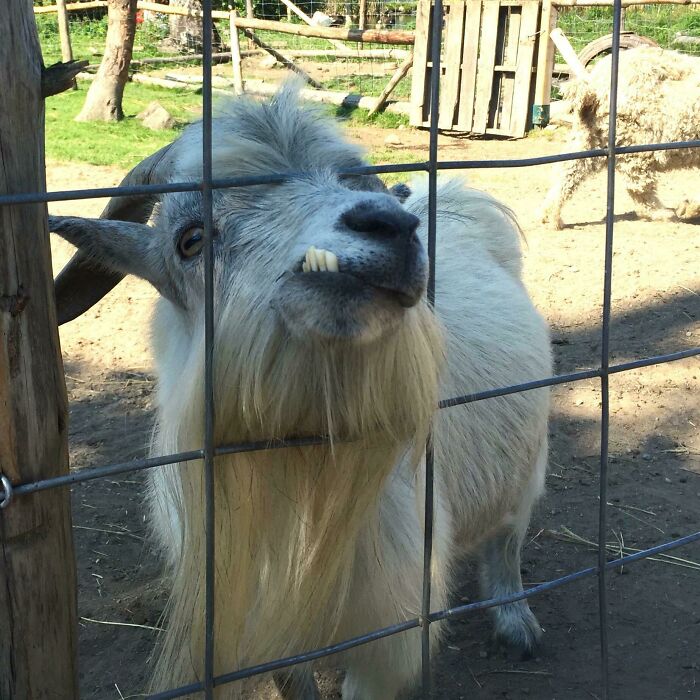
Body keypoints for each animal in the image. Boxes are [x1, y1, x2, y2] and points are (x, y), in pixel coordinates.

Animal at [50, 86, 551, 699]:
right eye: (190, 240)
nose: (390, 226)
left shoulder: (385, 635)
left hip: (531, 455)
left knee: (508, 536)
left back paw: (516, 622)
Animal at [541, 47, 700, 229]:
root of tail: (594, 84)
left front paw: (689, 206)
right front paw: (690, 207)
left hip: (589, 133)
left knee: (569, 169)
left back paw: (550, 216)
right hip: (636, 139)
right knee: (638, 184)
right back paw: (661, 213)